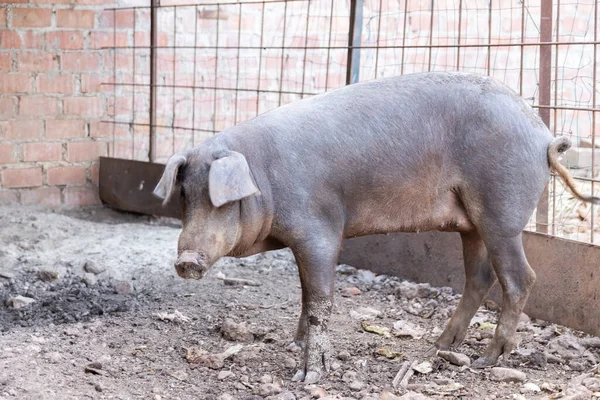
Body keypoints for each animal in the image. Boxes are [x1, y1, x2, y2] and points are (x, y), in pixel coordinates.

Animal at [155, 72, 600, 384]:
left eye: (222, 201)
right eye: (184, 197)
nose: (186, 260)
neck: (264, 181)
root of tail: (543, 136)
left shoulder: (318, 231)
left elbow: (319, 301)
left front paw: (307, 376)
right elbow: (305, 295)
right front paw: (293, 341)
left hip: (502, 210)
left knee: (521, 277)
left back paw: (485, 360)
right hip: (472, 223)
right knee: (480, 277)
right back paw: (439, 346)